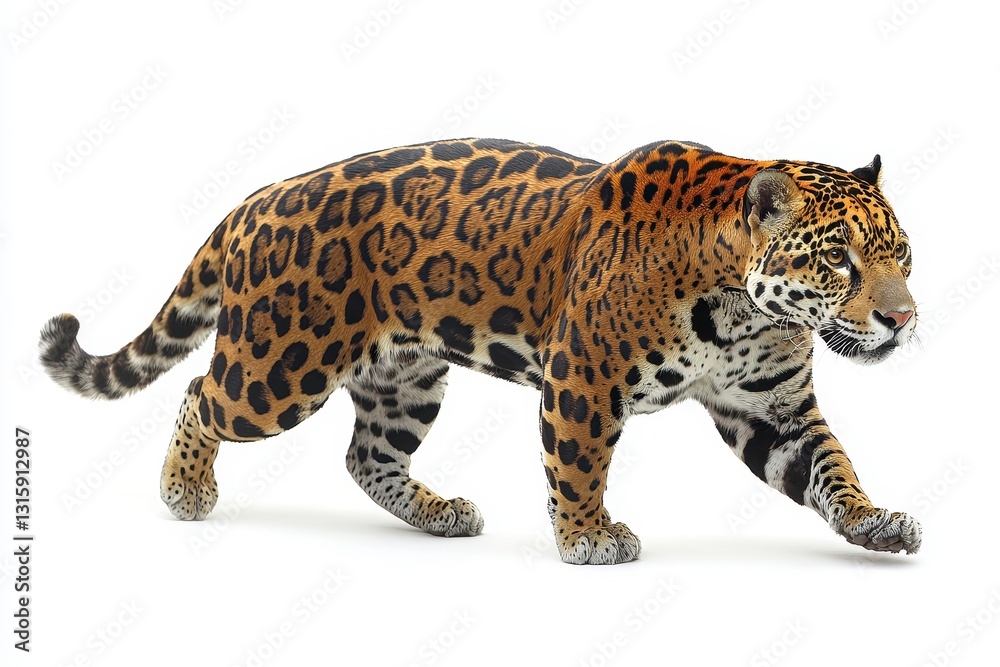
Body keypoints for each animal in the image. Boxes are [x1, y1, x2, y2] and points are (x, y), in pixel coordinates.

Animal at [39, 137, 922, 564]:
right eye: (838, 258)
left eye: (901, 254)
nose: (902, 319)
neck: (742, 305)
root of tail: (254, 200)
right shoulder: (583, 376)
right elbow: (578, 463)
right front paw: (588, 537)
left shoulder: (771, 408)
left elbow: (830, 467)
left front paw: (875, 522)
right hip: (279, 366)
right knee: (199, 395)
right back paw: (184, 488)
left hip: (404, 379)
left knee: (366, 454)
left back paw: (440, 513)